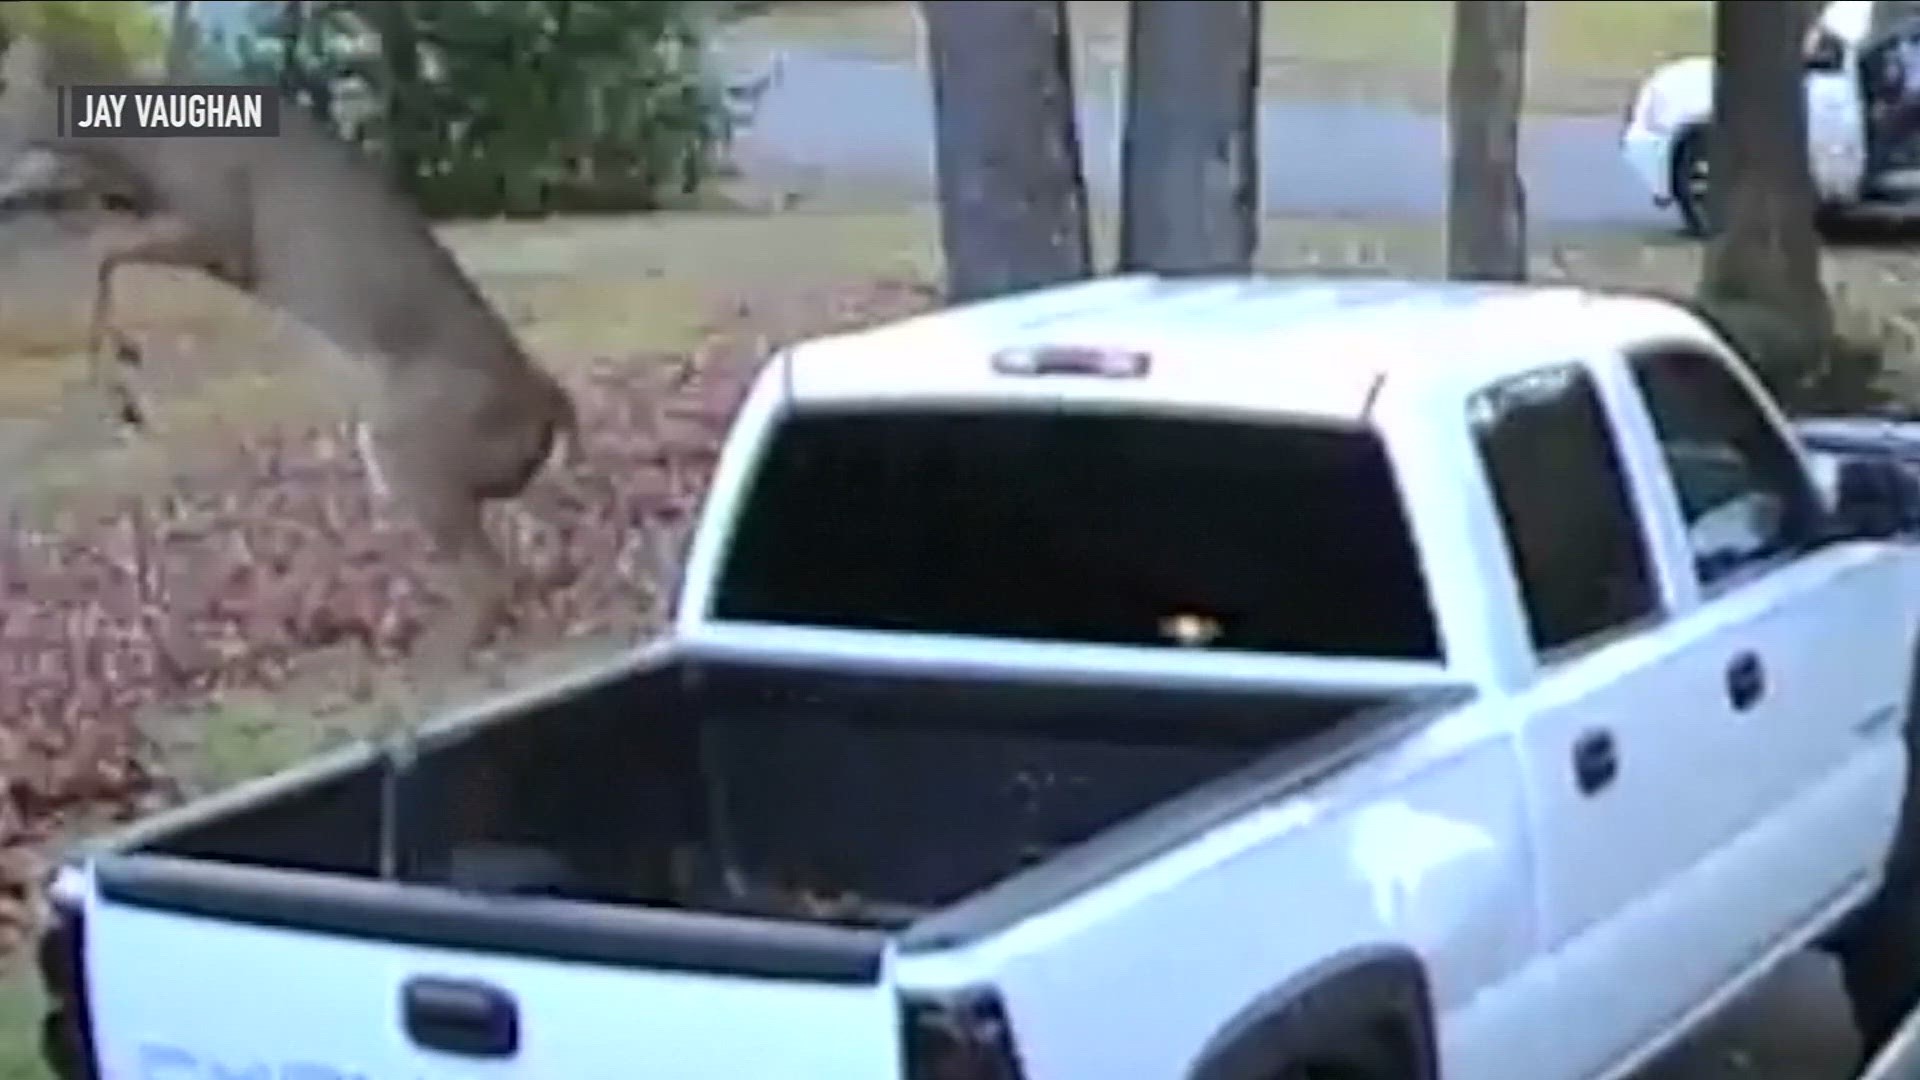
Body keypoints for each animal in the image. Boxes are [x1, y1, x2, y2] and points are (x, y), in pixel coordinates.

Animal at [0, 39, 583, 687]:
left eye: (4, 111)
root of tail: (548, 402)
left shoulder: (218, 228)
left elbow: (105, 252)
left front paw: (118, 372)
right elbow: (105, 248)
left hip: (407, 447)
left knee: (487, 576)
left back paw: (426, 664)